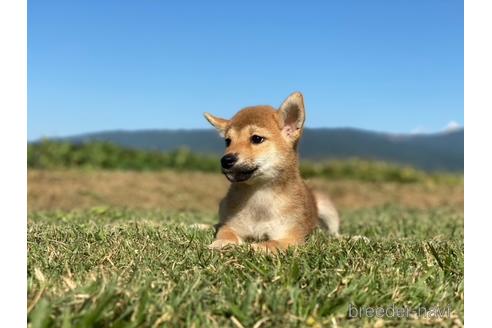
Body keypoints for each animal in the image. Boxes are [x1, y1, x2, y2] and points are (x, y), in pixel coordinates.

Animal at [203, 92, 338, 254]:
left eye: (256, 138)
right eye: (228, 141)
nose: (226, 160)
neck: (259, 197)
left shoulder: (290, 237)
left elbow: (270, 244)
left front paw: (253, 247)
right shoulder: (231, 225)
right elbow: (225, 232)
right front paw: (222, 243)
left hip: (327, 208)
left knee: (335, 234)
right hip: (223, 204)